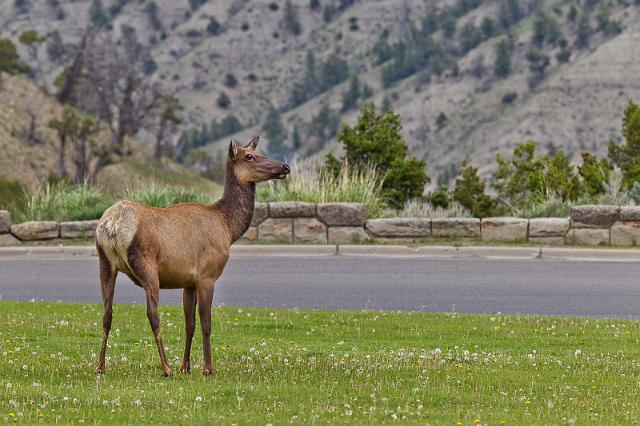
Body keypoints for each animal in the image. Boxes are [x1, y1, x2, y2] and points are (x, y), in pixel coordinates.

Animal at [95, 136, 290, 376]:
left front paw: (185, 366)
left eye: (259, 152)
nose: (285, 166)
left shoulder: (189, 281)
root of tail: (112, 225)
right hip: (146, 263)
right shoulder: (208, 275)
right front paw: (207, 368)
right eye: (250, 156)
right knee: (152, 314)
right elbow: (206, 323)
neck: (227, 227)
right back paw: (166, 367)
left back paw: (101, 366)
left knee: (107, 314)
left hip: (105, 262)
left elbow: (190, 324)